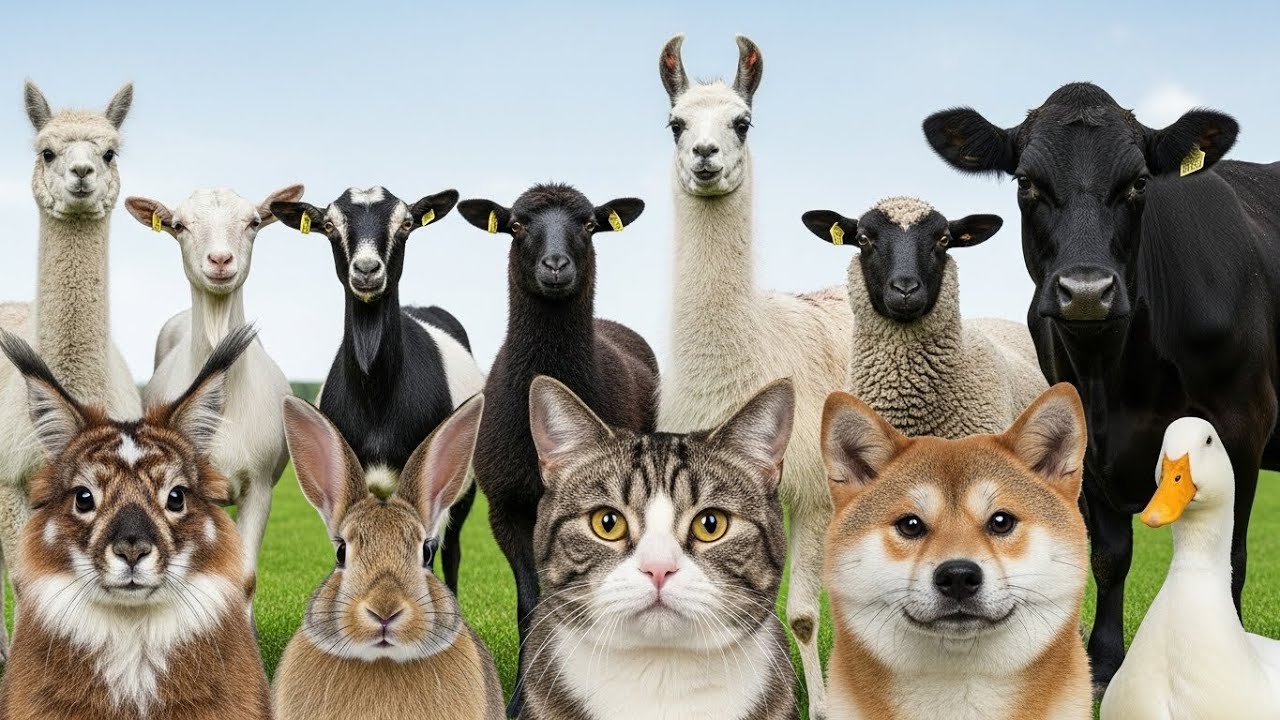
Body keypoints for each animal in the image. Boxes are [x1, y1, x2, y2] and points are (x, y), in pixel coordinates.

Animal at [921, 82, 1280, 691]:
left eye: (1138, 183)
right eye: (1026, 182)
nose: (1086, 291)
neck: (1121, 378)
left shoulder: (1242, 421)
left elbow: (1231, 554)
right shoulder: (1085, 435)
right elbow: (1110, 555)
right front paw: (1104, 661)